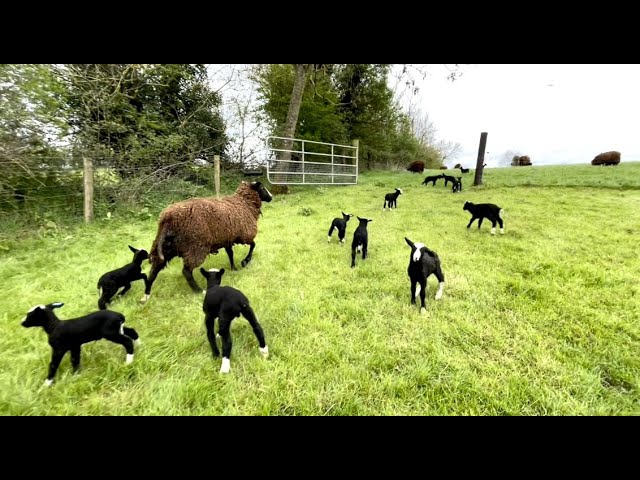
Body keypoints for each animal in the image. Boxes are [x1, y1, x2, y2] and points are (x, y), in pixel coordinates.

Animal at [142, 182, 272, 302]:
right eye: (262, 187)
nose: (271, 197)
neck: (244, 203)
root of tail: (167, 219)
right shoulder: (244, 235)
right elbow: (253, 245)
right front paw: (245, 261)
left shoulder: (227, 238)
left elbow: (230, 254)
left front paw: (234, 268)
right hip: (195, 246)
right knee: (186, 271)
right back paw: (199, 290)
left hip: (166, 247)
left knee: (154, 270)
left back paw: (146, 295)